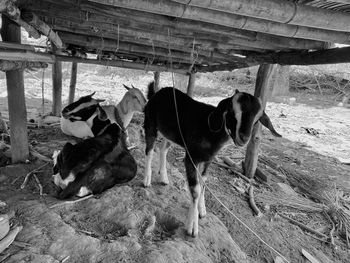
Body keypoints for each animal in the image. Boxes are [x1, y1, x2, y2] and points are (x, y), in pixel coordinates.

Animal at [143, 82, 282, 237]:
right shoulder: (191, 158)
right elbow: (196, 189)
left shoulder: (207, 160)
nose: (244, 138)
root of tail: (157, 92)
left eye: (257, 119)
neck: (209, 130)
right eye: (232, 110)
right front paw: (192, 228)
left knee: (163, 149)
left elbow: (203, 182)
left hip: (170, 133)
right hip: (150, 123)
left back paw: (164, 178)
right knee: (149, 150)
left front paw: (202, 210)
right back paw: (146, 180)